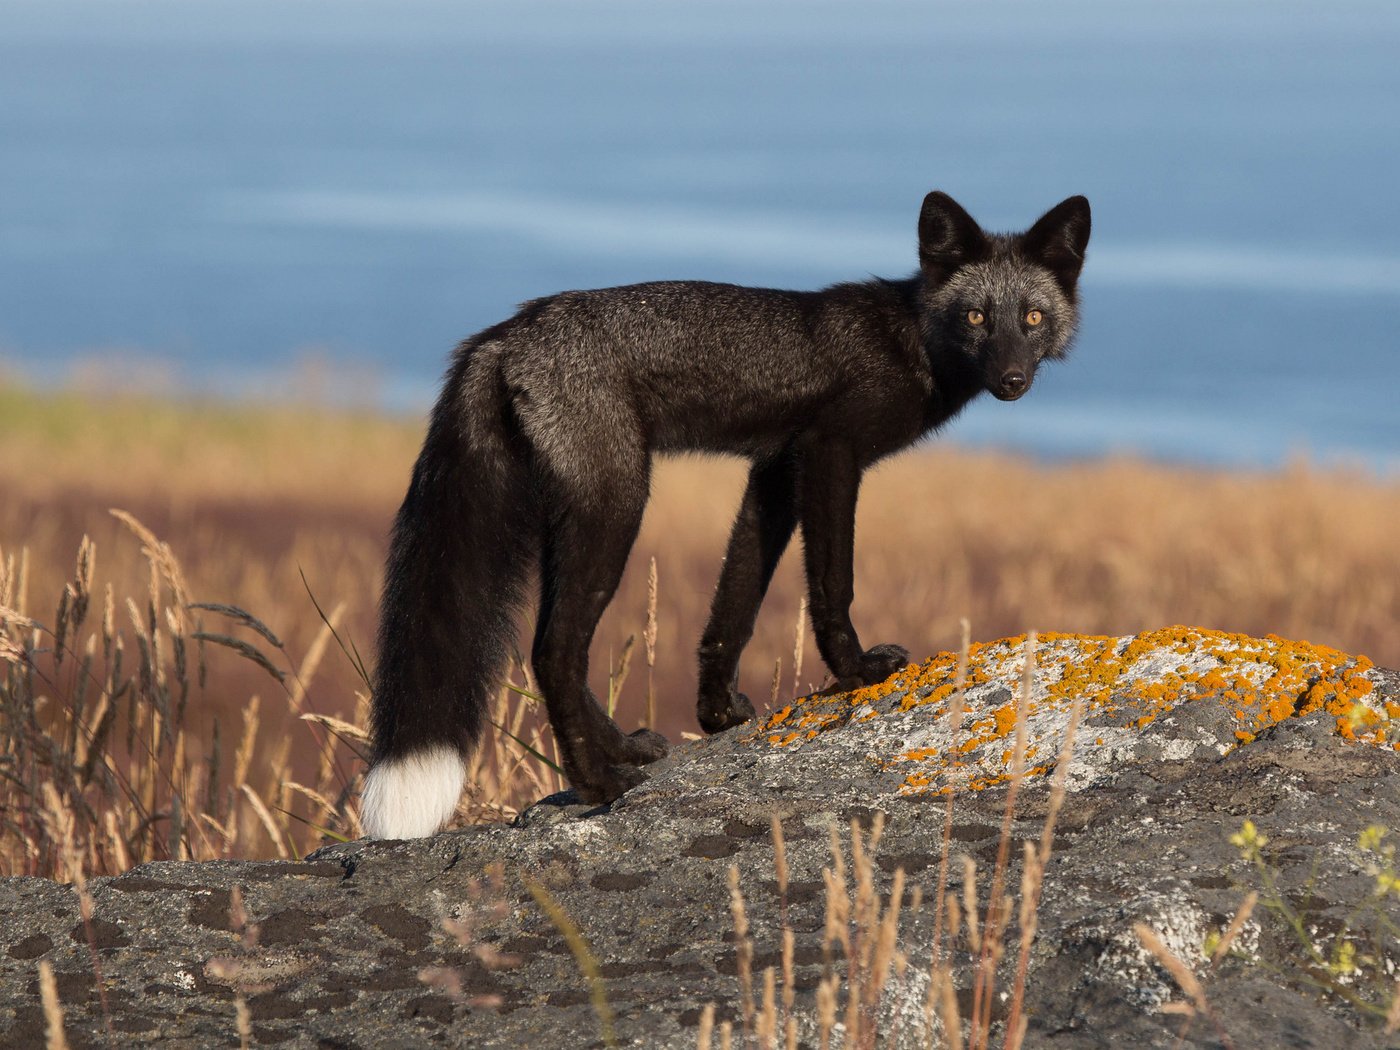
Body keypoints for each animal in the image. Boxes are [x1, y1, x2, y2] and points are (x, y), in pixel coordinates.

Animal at [361, 193, 1092, 845]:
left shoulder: (773, 470)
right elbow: (832, 583)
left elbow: (734, 602)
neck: (910, 341)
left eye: (1031, 317)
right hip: (616, 506)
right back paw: (600, 785)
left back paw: (625, 749)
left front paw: (715, 715)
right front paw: (857, 671)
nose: (1013, 379)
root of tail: (504, 333)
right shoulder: (829, 452)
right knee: (553, 651)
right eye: (975, 316)